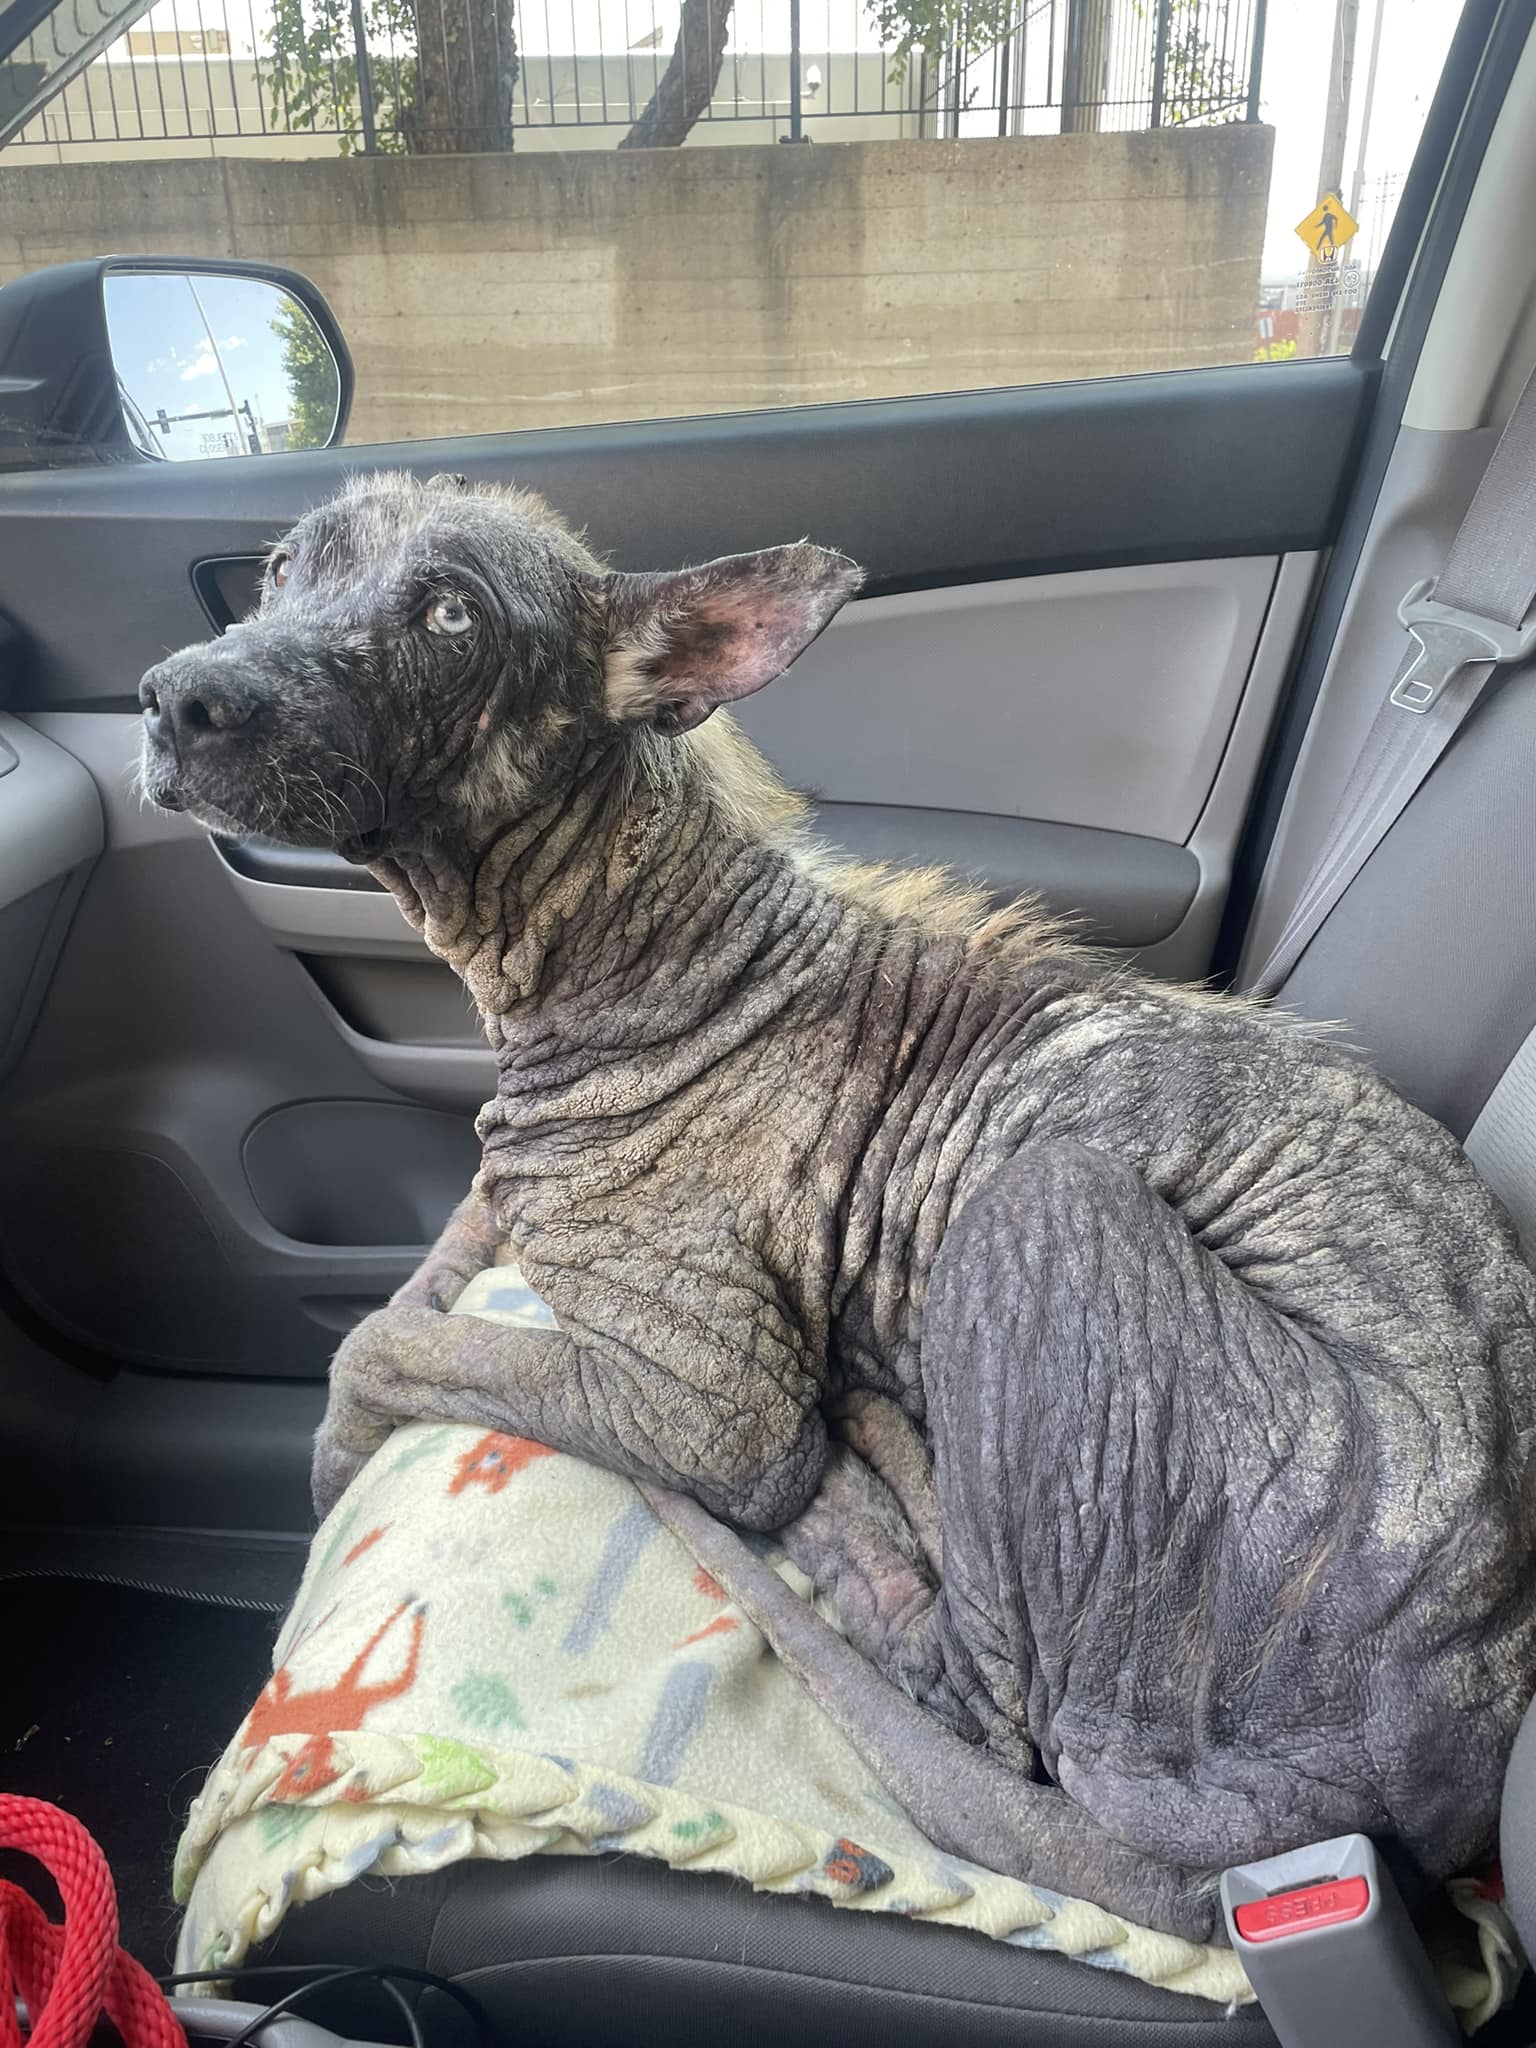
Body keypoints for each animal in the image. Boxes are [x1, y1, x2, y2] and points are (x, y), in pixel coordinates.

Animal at [138, 471, 1536, 1941]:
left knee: (987, 1703)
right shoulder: (499, 1193)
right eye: (282, 570)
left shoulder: (711, 1401)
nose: (179, 696)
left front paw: (333, 1467)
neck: (614, 945)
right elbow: (424, 1276)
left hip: (1037, 1204)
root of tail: (1400, 1813)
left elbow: (390, 1345)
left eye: (451, 615)